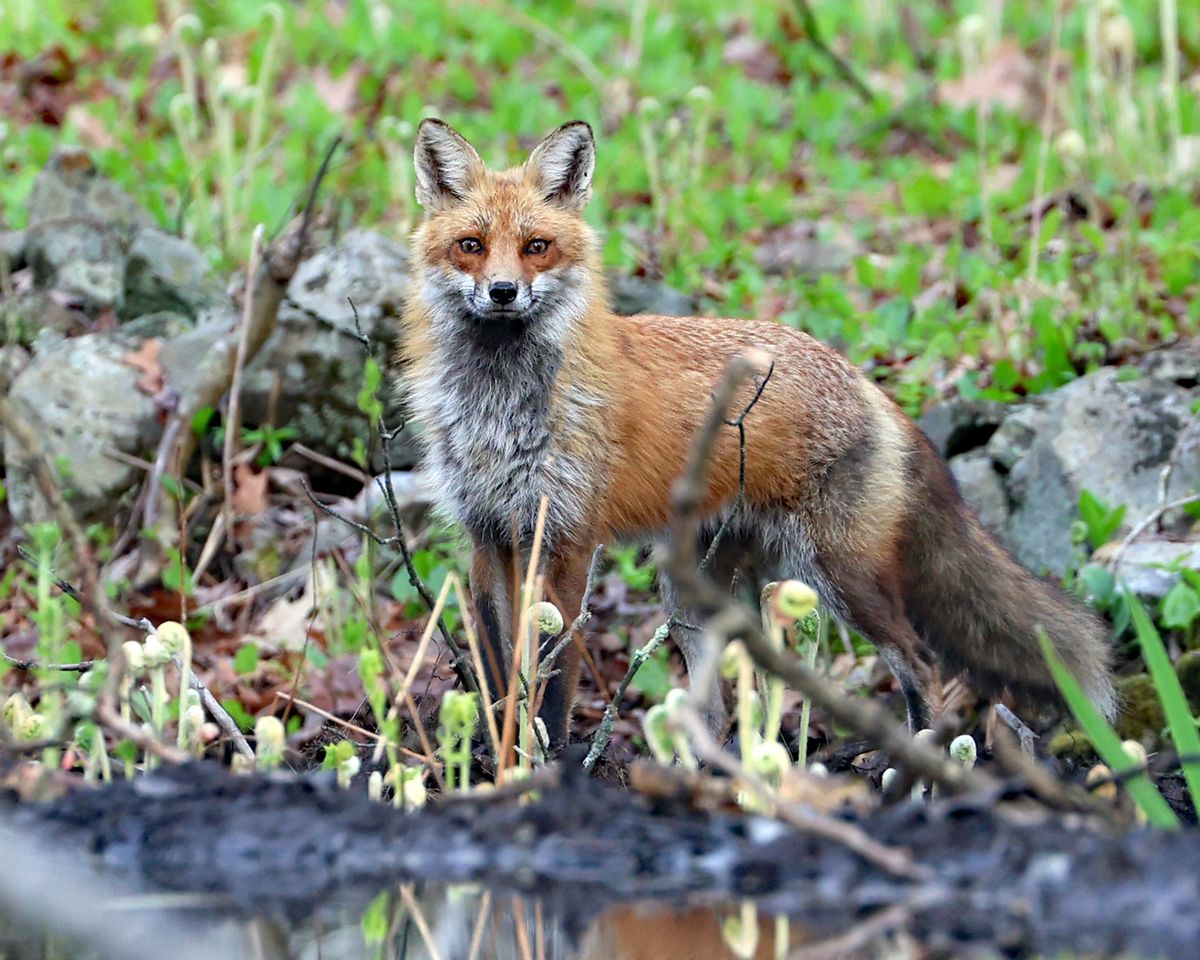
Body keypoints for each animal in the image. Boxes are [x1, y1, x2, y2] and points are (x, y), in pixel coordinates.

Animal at [398, 118, 1118, 748]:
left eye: (536, 247)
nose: (502, 291)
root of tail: (865, 380)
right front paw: (497, 757)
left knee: (918, 660)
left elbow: (553, 680)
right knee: (722, 706)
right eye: (470, 245)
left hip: (838, 574)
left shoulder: (568, 536)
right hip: (697, 592)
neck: (499, 408)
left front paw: (546, 763)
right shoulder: (488, 535)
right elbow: (498, 673)